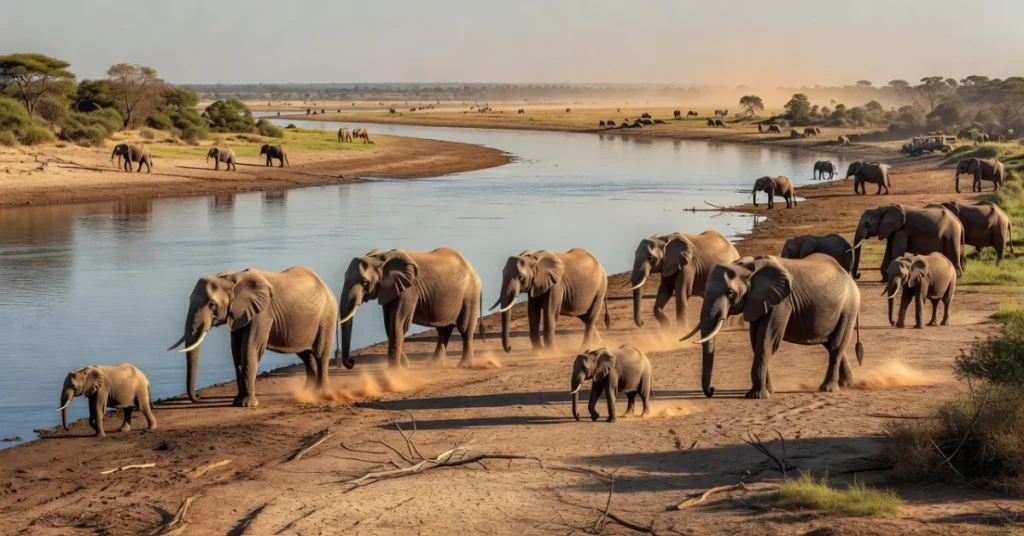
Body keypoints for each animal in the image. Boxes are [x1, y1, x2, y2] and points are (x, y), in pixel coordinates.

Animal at [166, 267, 338, 407]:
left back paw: (321, 395)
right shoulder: (237, 315)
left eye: (211, 305)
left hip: (327, 316)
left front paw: (246, 405)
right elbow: (236, 351)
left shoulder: (261, 314)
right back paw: (306, 393)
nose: (199, 397)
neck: (231, 279)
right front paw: (237, 402)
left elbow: (250, 348)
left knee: (321, 354)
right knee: (306, 355)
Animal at [338, 248, 483, 369]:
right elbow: (389, 325)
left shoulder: (409, 290)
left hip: (470, 295)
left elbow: (398, 323)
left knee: (465, 329)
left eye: (363, 281)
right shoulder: (390, 289)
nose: (351, 362)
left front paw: (395, 370)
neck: (381, 258)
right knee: (443, 331)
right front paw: (404, 365)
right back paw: (433, 365)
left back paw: (464, 365)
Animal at [682, 255, 863, 399]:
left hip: (848, 307)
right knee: (831, 344)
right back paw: (847, 383)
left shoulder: (781, 303)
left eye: (730, 293)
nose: (712, 390)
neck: (747, 268)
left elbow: (766, 341)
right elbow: (756, 342)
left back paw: (828, 389)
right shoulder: (757, 301)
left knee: (836, 345)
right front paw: (770, 391)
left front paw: (757, 396)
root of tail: (849, 277)